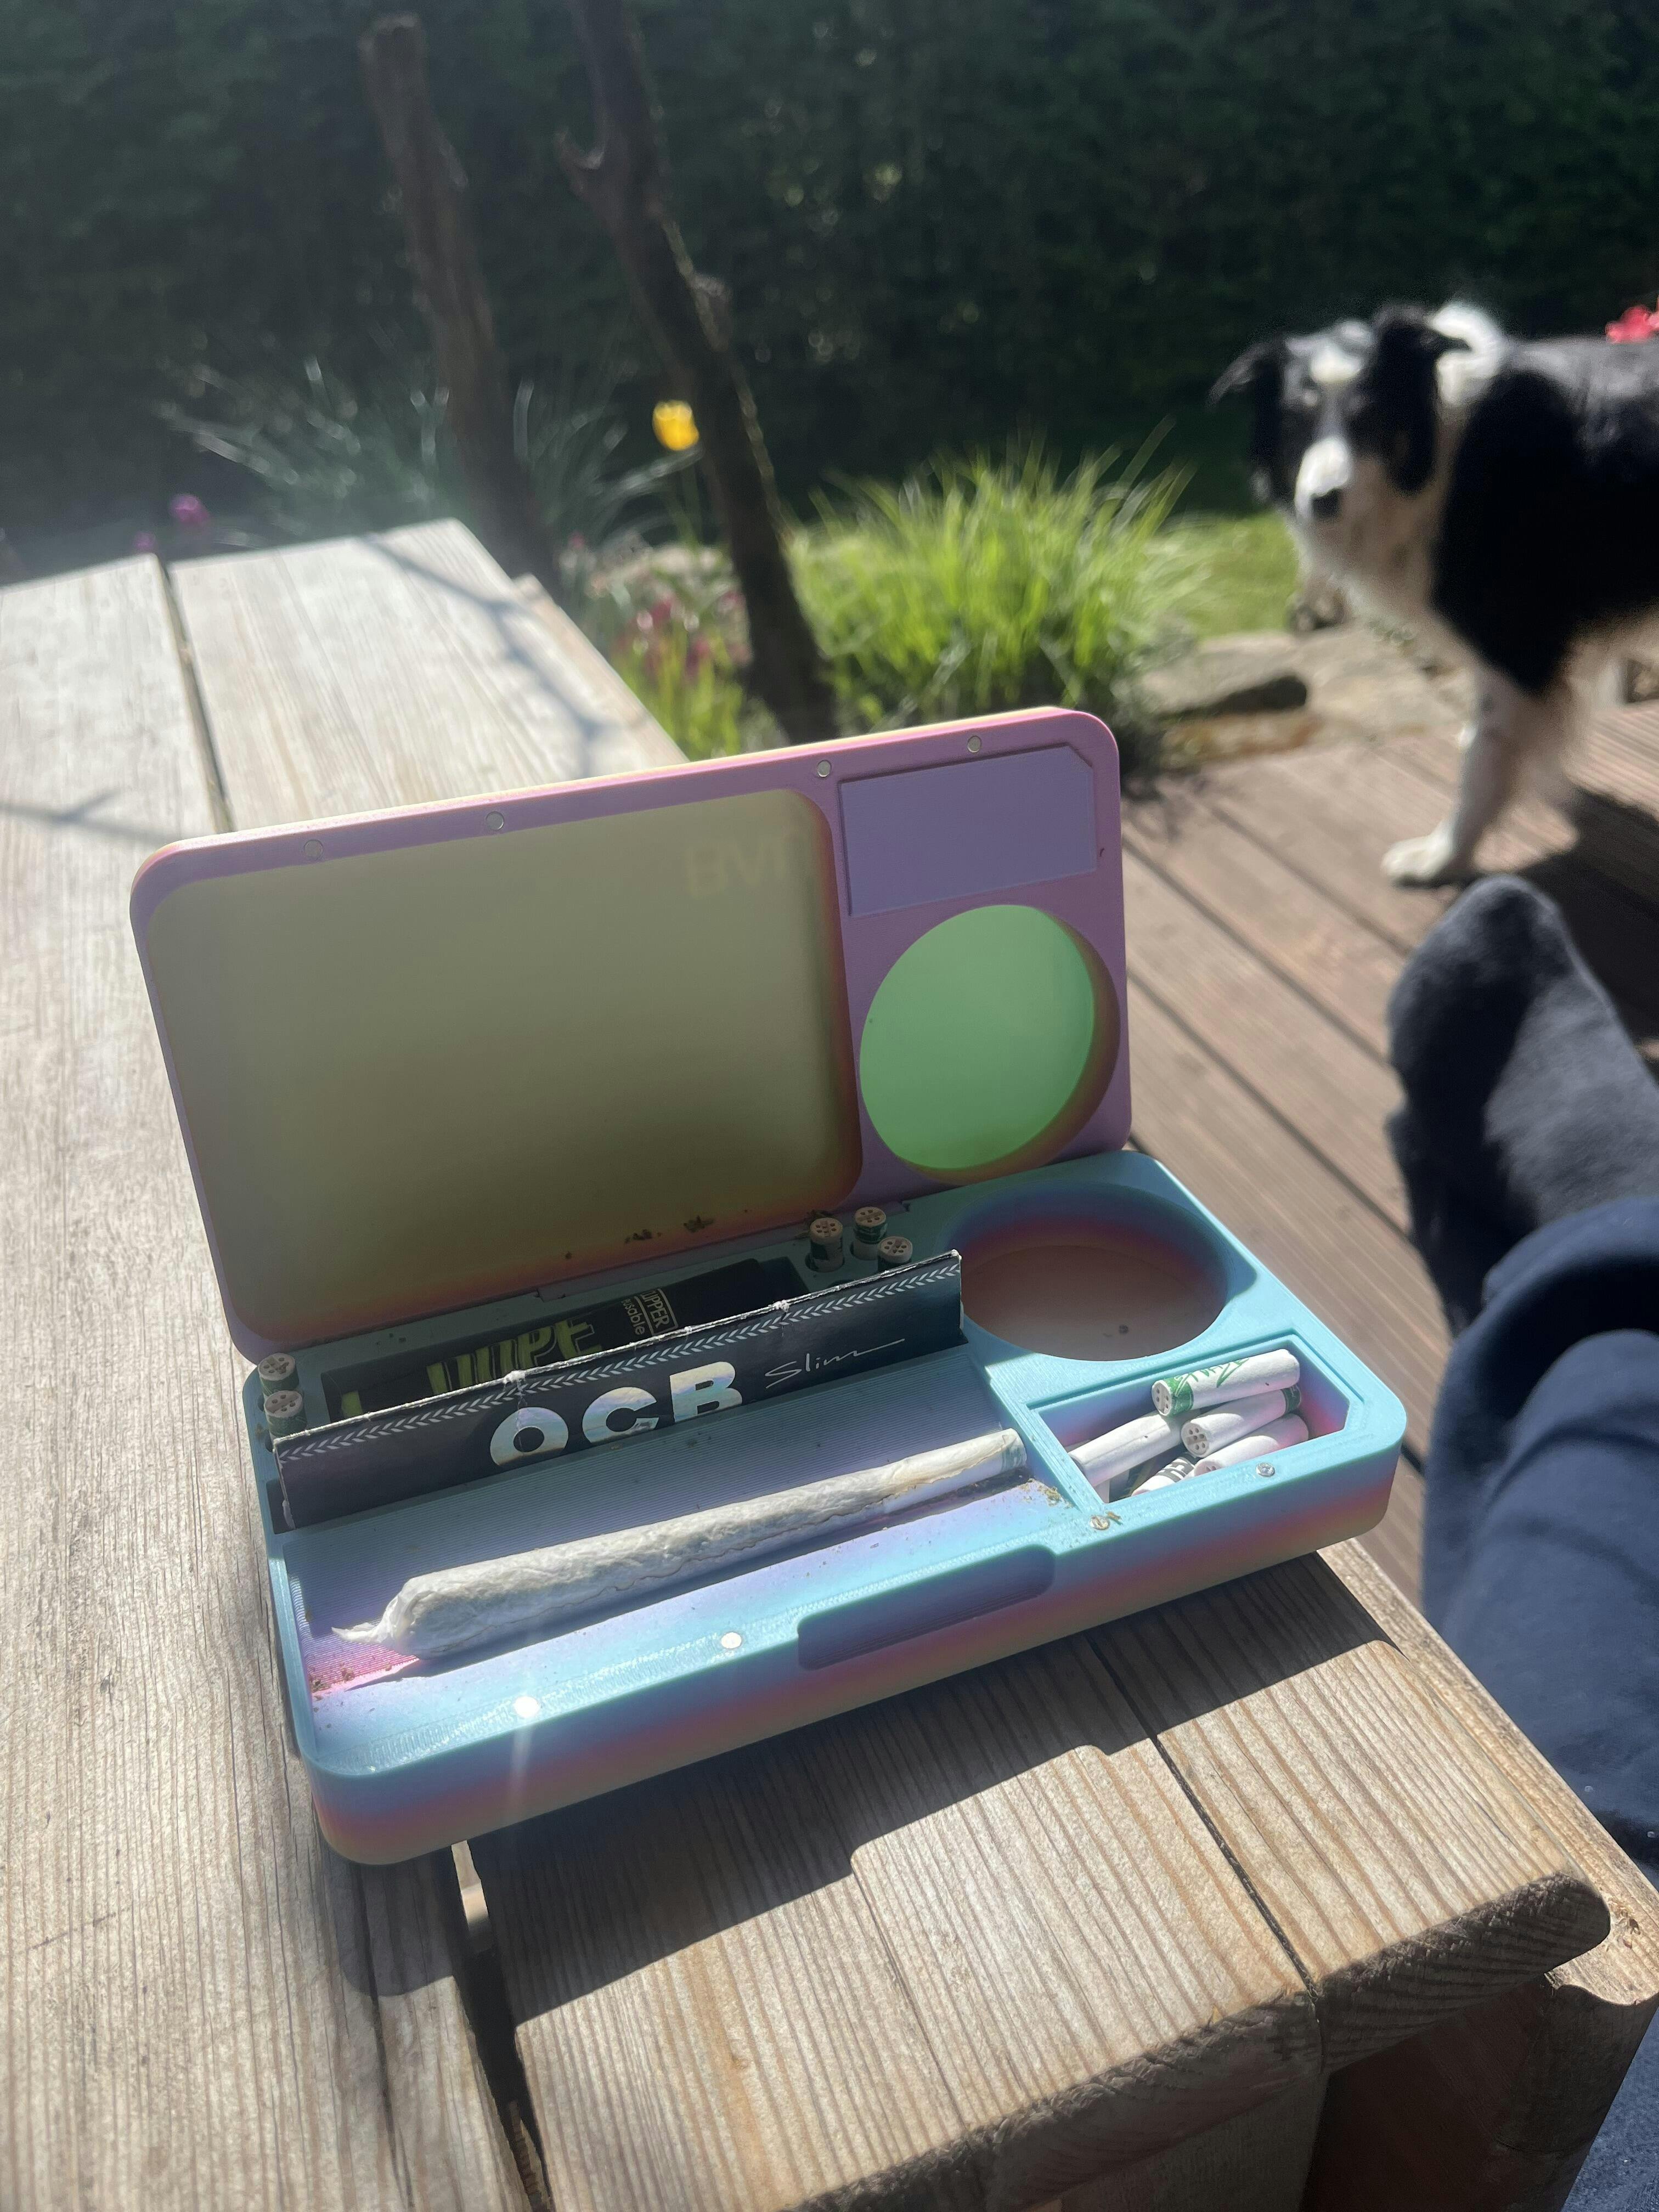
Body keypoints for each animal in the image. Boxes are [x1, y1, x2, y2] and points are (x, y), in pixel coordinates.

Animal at [1213, 302, 1659, 883]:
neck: (1439, 455)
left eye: (1370, 419)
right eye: (1295, 424)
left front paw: (1443, 858)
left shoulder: (1515, 641)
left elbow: (1483, 756)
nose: (1322, 501)